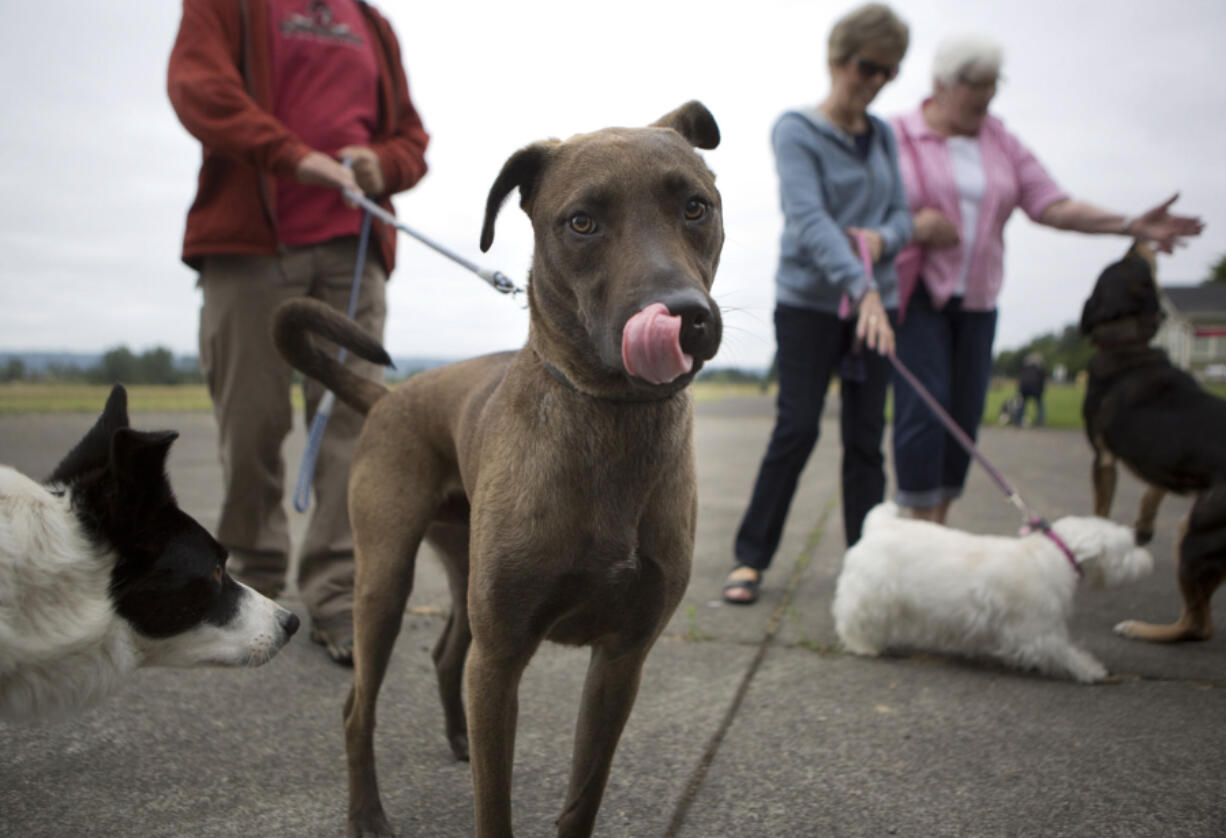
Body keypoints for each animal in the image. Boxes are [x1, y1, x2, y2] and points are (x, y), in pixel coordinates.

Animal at [273, 102, 720, 838]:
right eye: (581, 222)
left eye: (695, 206)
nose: (685, 317)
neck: (610, 419)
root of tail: (390, 397)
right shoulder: (503, 656)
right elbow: (495, 808)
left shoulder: (621, 660)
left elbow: (582, 799)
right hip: (384, 580)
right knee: (357, 707)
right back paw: (367, 814)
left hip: (461, 567)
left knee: (445, 653)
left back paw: (455, 739)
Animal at [828, 499, 1152, 686]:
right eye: (1128, 548)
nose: (1148, 560)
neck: (1055, 554)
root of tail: (879, 526)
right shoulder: (1037, 631)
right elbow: (1066, 652)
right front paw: (1092, 670)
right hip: (872, 595)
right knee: (853, 620)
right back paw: (864, 646)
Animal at [1083, 242, 1226, 641]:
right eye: (1131, 264)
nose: (1136, 241)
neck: (1127, 342)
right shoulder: (1148, 459)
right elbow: (1151, 492)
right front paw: (1142, 529)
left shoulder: (1105, 457)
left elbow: (1104, 507)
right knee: (1200, 624)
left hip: (1195, 534)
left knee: (1196, 623)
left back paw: (1141, 628)